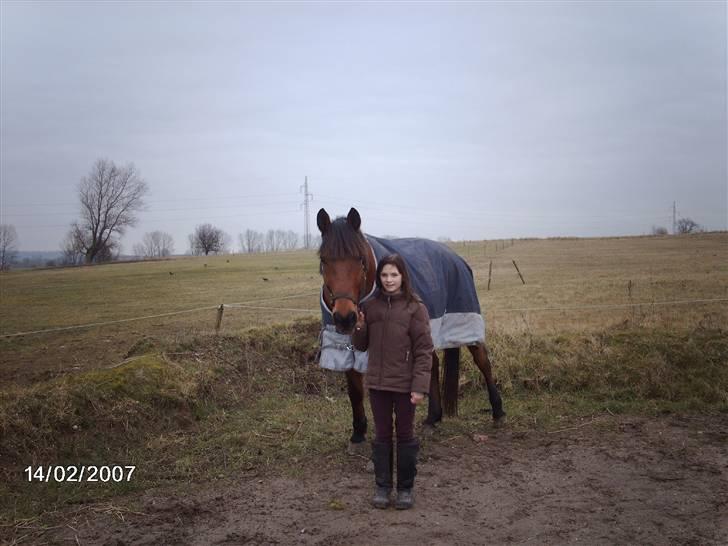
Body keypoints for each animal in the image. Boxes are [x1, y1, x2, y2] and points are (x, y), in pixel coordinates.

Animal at [318, 205, 506, 446]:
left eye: (360, 259)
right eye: (324, 260)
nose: (345, 317)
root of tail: (457, 258)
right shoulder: (343, 344)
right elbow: (355, 391)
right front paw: (358, 433)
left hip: (465, 319)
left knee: (482, 360)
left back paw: (498, 412)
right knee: (433, 364)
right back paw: (433, 418)